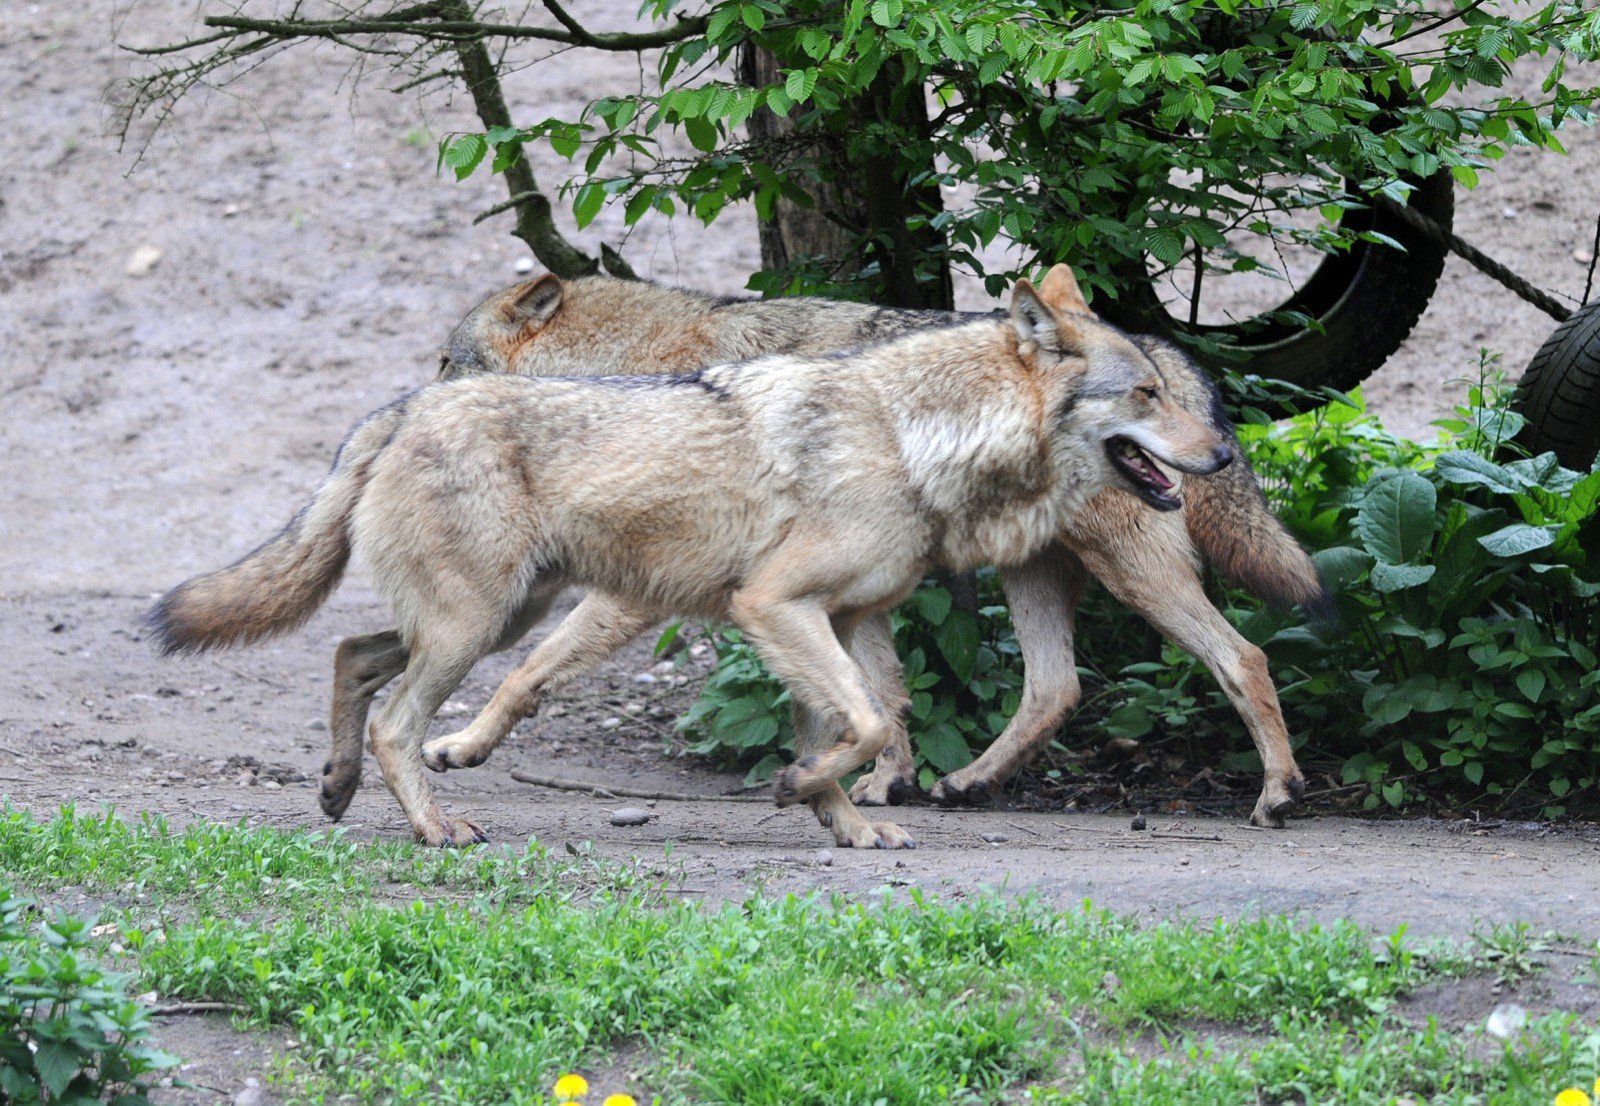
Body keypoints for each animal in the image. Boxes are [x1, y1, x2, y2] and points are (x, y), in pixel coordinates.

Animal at [150, 276, 1228, 845]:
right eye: (1142, 395)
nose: (1221, 452)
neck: (911, 435)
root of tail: (402, 408)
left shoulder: (826, 624)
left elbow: (855, 729)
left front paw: (840, 820)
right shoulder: (774, 607)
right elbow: (872, 722)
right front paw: (814, 797)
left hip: (497, 618)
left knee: (353, 658)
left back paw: (337, 789)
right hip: (477, 627)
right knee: (393, 719)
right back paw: (436, 825)